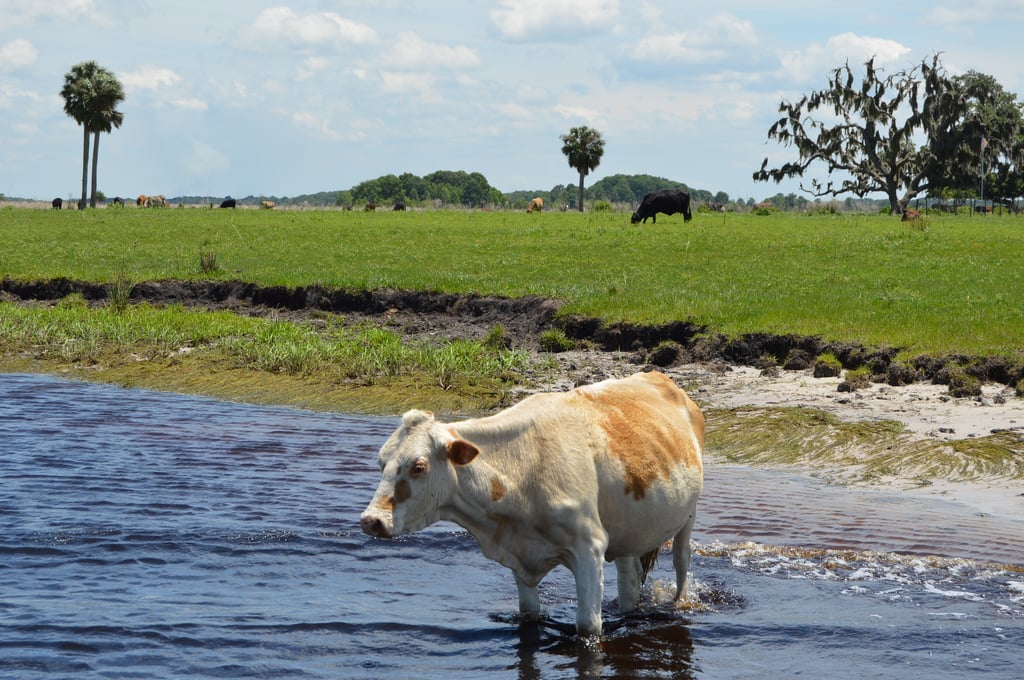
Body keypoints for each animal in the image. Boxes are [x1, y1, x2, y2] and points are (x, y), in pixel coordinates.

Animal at [360, 368, 704, 634]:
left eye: (419, 466)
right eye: (381, 462)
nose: (371, 520)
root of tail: (660, 377)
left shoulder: (589, 547)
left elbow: (588, 627)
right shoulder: (519, 554)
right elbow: (529, 614)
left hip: (689, 513)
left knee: (682, 558)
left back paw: (681, 601)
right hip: (630, 529)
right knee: (629, 577)